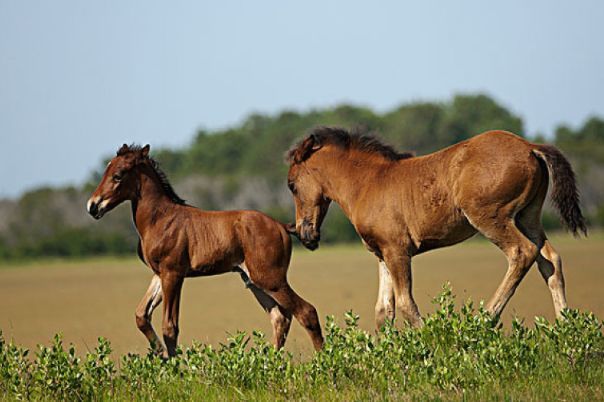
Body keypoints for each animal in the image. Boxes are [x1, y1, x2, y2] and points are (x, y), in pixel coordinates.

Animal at [87, 143, 324, 356]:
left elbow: (170, 327)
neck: (161, 218)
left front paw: (175, 369)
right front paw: (161, 355)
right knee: (280, 318)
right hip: (254, 281)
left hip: (270, 279)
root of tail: (281, 226)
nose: (93, 206)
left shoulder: (173, 274)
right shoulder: (159, 274)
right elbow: (141, 316)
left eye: (118, 175)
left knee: (307, 312)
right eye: (106, 170)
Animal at [286, 127, 584, 328]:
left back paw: (484, 319)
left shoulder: (397, 251)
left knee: (522, 252)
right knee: (550, 260)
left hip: (491, 217)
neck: (368, 182)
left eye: (291, 185)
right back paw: (566, 328)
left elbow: (406, 304)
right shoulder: (382, 253)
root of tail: (530, 145)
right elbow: (383, 311)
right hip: (527, 217)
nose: (304, 234)